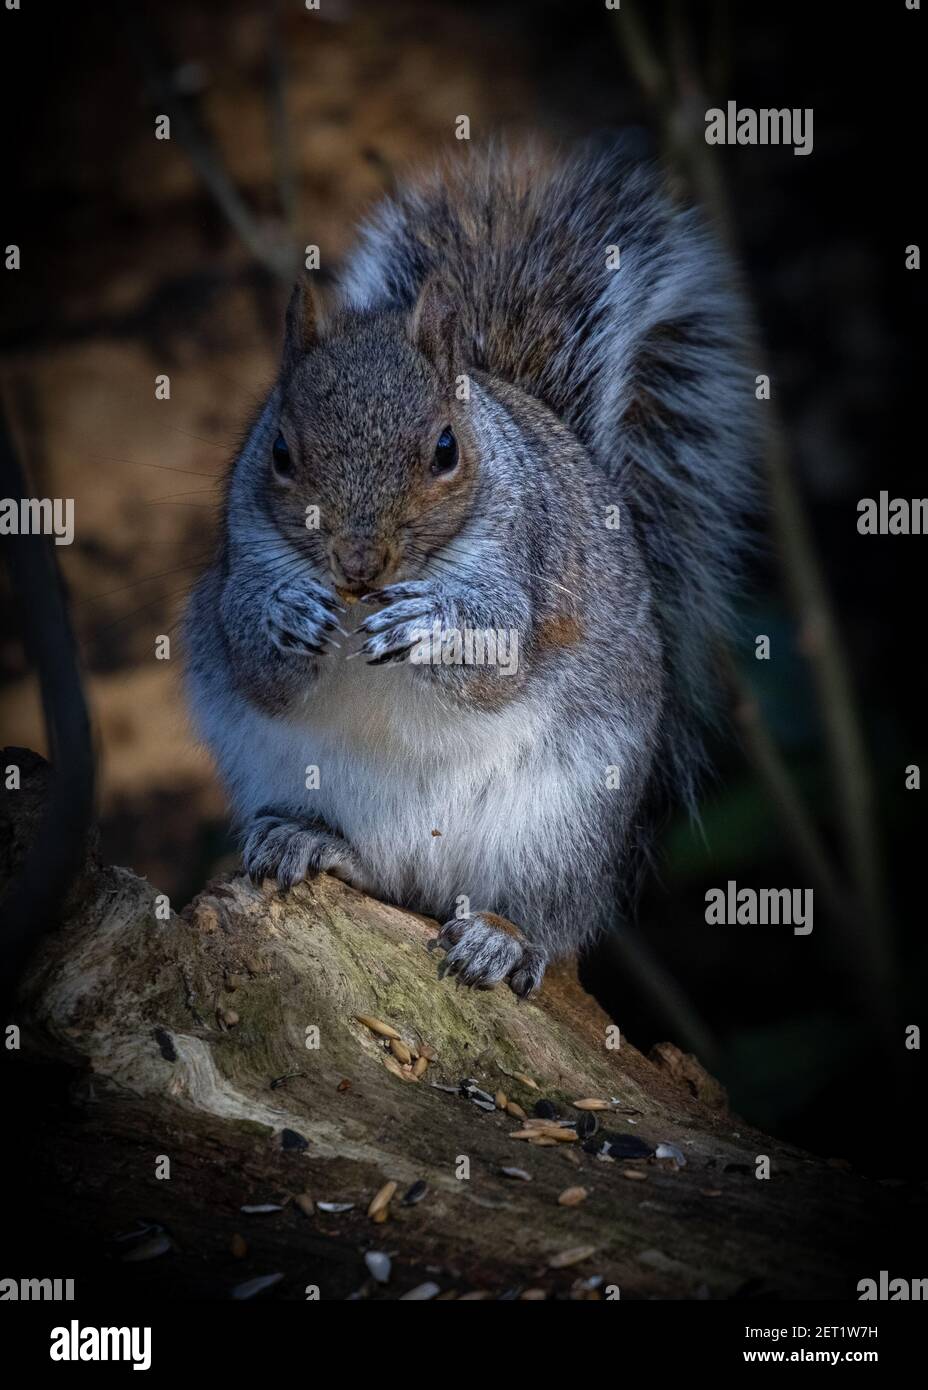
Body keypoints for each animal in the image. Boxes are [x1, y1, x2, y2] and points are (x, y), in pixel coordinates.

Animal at [184, 138, 756, 998]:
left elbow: (498, 659)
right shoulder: (242, 560)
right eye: (280, 452)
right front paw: (290, 615)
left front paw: (428, 622)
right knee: (378, 873)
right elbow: (256, 661)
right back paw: (307, 840)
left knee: (550, 914)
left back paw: (501, 938)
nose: (359, 562)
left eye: (445, 450)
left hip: (562, 827)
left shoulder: (527, 564)